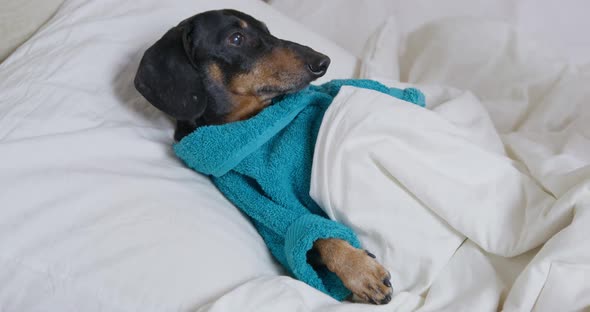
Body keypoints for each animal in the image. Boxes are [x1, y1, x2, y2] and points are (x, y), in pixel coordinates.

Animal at [134, 9, 394, 304]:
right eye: (236, 38)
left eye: (267, 31)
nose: (323, 61)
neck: (251, 119)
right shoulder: (255, 200)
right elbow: (309, 231)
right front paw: (359, 269)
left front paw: (359, 269)